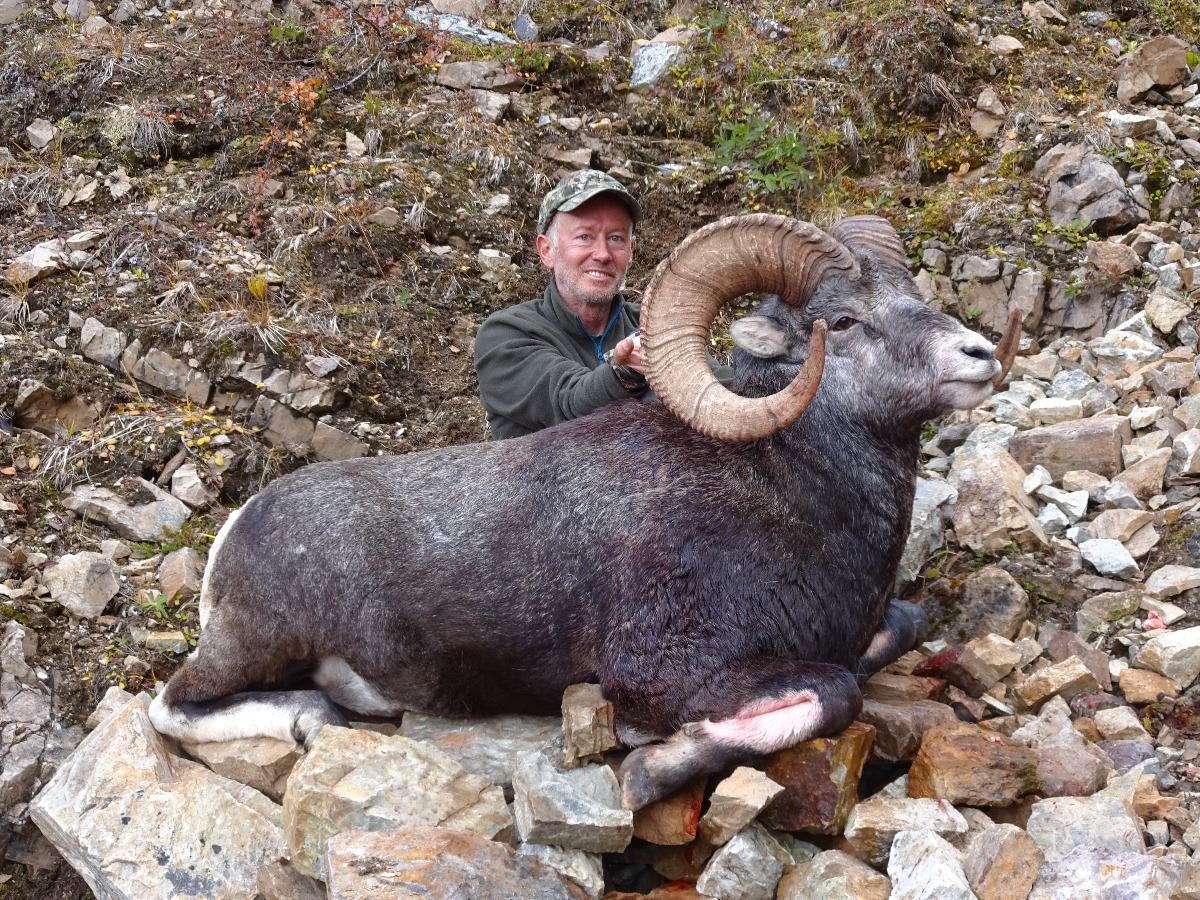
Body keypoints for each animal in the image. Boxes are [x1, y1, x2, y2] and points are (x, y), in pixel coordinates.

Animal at [150, 214, 1019, 809]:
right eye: (842, 321)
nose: (979, 355)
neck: (790, 490)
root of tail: (235, 535)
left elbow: (894, 635)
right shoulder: (669, 669)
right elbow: (836, 693)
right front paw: (648, 766)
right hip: (257, 644)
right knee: (173, 705)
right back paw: (318, 719)